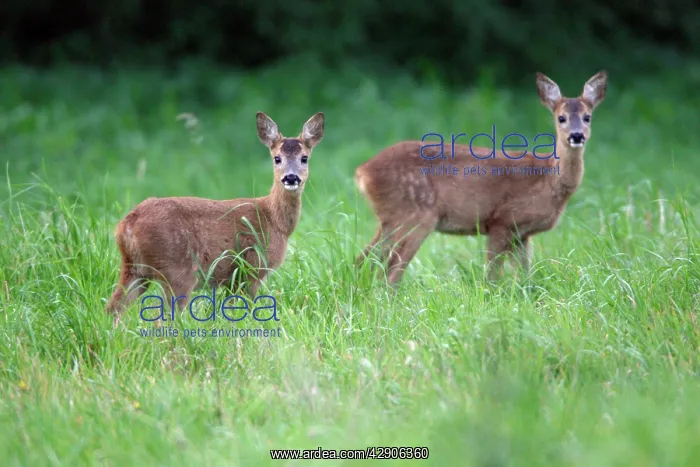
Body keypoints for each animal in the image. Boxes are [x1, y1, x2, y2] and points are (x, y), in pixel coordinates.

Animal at [105, 111, 325, 322]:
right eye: (277, 158)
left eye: (304, 158)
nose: (291, 178)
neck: (274, 220)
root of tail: (127, 225)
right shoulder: (253, 268)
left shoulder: (233, 277)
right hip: (177, 269)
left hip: (135, 269)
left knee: (112, 308)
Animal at [354, 71, 607, 284]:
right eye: (561, 118)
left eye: (587, 117)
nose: (577, 136)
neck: (548, 179)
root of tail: (363, 172)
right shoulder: (501, 220)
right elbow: (492, 274)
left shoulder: (522, 234)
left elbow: (526, 274)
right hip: (416, 215)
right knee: (390, 270)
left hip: (391, 218)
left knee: (364, 260)